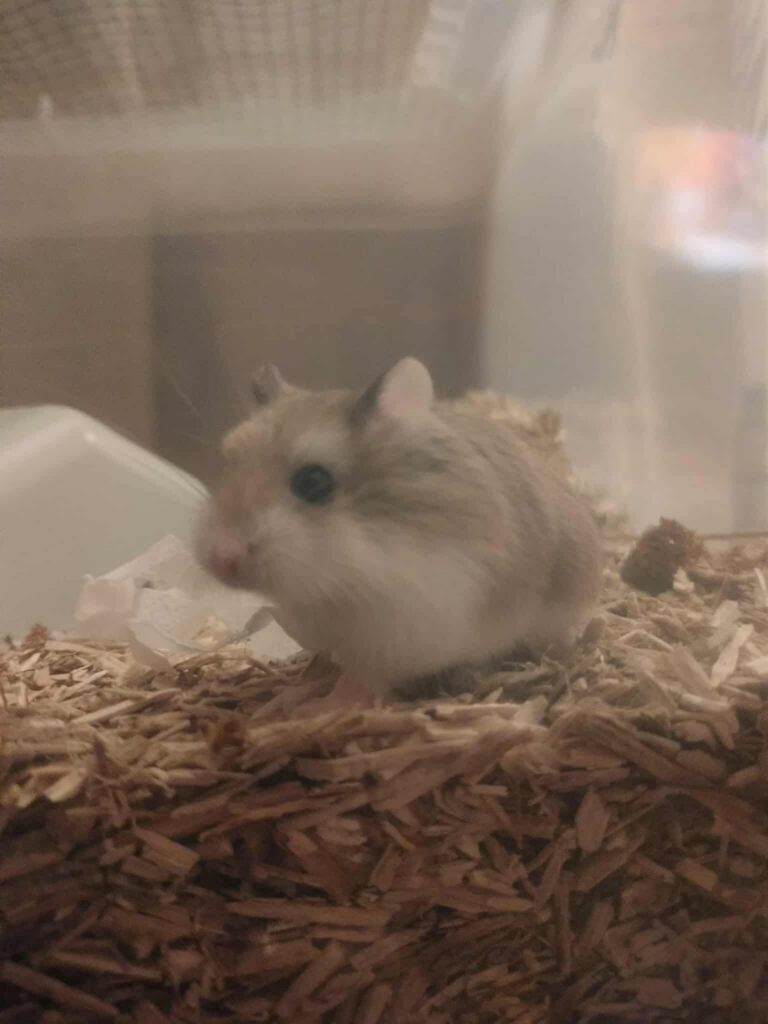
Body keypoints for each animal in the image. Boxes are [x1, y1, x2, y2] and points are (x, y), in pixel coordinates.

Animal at [197, 358, 602, 696]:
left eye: (314, 482)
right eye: (227, 460)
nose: (220, 560)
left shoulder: (403, 631)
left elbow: (362, 678)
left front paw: (319, 706)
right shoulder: (315, 625)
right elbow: (324, 659)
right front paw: (291, 694)